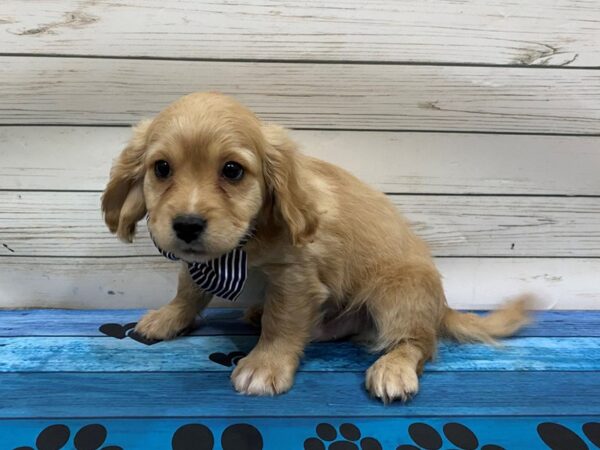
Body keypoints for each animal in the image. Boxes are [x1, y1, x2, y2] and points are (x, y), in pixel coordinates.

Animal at [103, 93, 528, 402]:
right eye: (161, 168)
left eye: (232, 170)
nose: (187, 225)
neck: (245, 244)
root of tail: (441, 307)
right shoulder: (204, 262)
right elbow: (189, 290)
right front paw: (168, 318)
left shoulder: (295, 279)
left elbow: (282, 322)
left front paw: (265, 365)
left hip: (399, 292)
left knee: (418, 342)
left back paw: (394, 368)